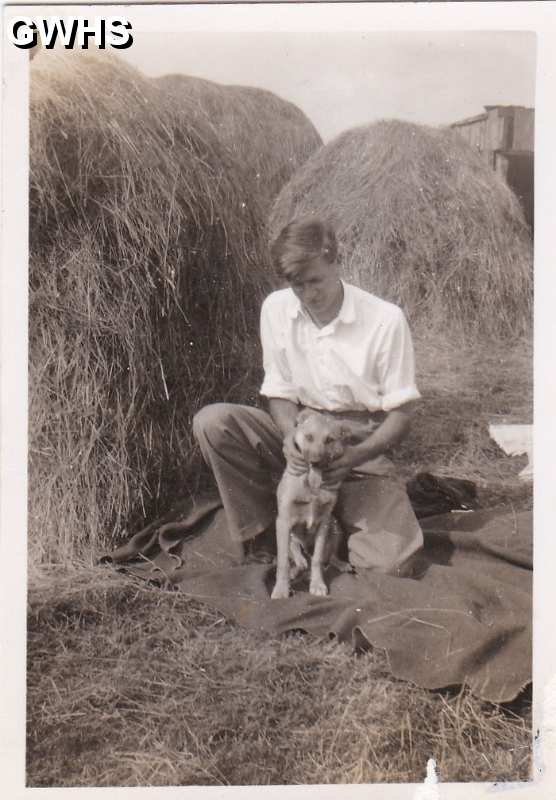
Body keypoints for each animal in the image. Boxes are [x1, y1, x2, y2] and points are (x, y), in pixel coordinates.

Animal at [270, 410, 376, 596]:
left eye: (329, 440)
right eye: (309, 437)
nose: (315, 461)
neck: (311, 486)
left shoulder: (324, 522)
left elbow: (318, 559)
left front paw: (317, 584)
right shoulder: (283, 521)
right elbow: (283, 561)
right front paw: (281, 589)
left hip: (336, 527)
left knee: (329, 556)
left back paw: (339, 564)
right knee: (295, 551)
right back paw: (297, 566)